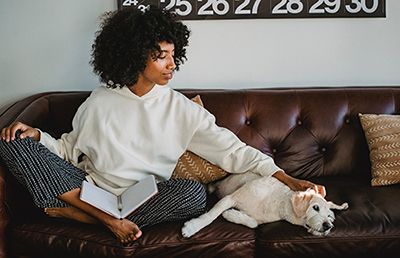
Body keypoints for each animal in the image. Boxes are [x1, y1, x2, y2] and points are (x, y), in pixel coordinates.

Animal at [181, 172, 346, 237]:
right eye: (315, 207)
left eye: (330, 217)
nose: (328, 226)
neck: (277, 202)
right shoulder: (230, 198)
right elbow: (211, 215)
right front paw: (192, 227)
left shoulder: (258, 218)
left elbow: (253, 223)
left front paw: (231, 214)